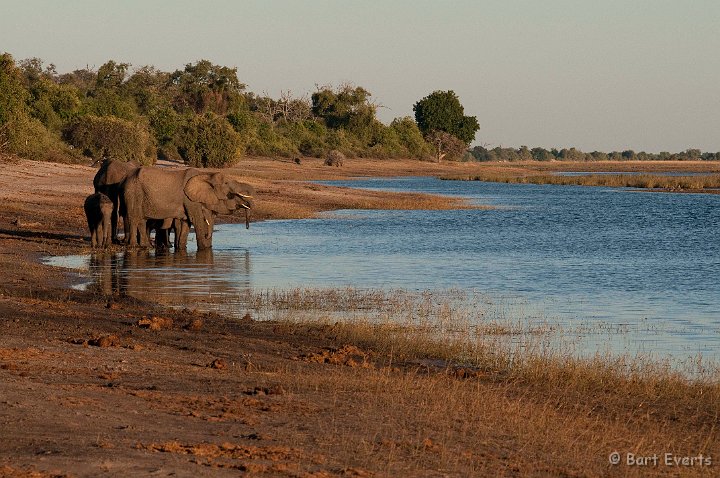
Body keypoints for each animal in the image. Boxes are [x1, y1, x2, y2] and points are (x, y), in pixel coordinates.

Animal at [119, 167, 252, 250]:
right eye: (226, 184)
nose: (247, 227)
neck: (206, 175)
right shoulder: (190, 201)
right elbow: (197, 221)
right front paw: (204, 250)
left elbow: (186, 224)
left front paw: (182, 249)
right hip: (133, 193)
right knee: (134, 218)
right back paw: (134, 247)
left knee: (142, 221)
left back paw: (146, 247)